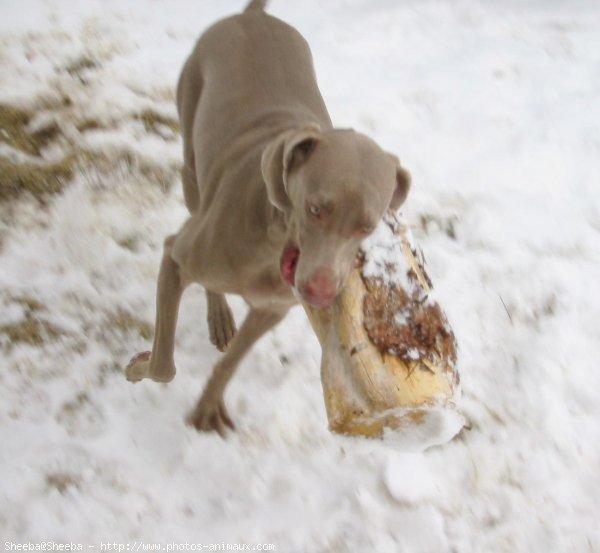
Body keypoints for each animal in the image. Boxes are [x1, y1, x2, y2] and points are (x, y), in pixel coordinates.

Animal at [124, 0, 410, 436]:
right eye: (315, 209)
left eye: (368, 225)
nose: (319, 292)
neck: (274, 238)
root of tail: (252, 14)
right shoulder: (175, 257)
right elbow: (163, 367)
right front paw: (138, 367)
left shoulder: (272, 309)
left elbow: (231, 362)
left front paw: (208, 405)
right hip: (191, 156)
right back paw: (218, 314)